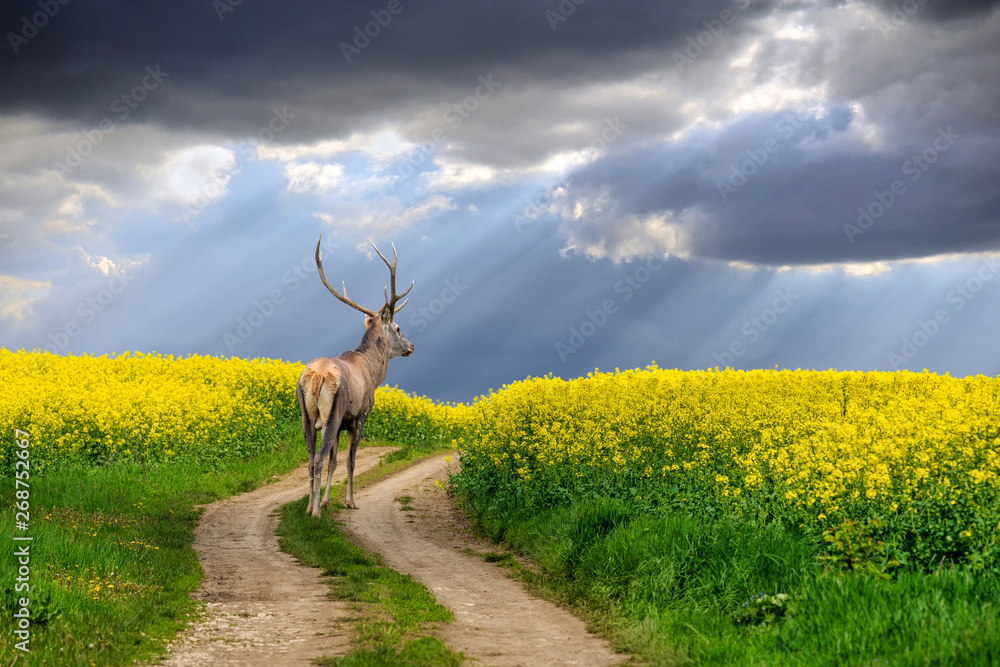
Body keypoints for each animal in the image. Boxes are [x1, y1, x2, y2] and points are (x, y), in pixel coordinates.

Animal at [294, 237, 412, 520]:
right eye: (399, 328)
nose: (411, 346)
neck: (373, 373)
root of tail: (316, 378)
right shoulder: (359, 417)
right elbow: (350, 461)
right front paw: (349, 501)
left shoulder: (341, 426)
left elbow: (334, 462)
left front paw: (327, 501)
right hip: (333, 413)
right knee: (317, 459)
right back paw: (315, 513)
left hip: (306, 415)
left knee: (311, 459)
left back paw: (308, 507)